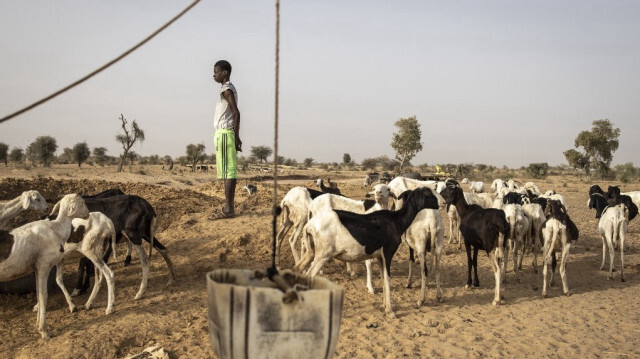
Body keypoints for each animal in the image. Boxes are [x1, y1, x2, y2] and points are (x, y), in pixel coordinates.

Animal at [0, 195, 90, 338]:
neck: (56, 229)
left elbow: (38, 294)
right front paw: (44, 331)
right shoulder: (44, 266)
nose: (88, 213)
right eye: (82, 202)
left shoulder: (36, 268)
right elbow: (44, 296)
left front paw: (38, 326)